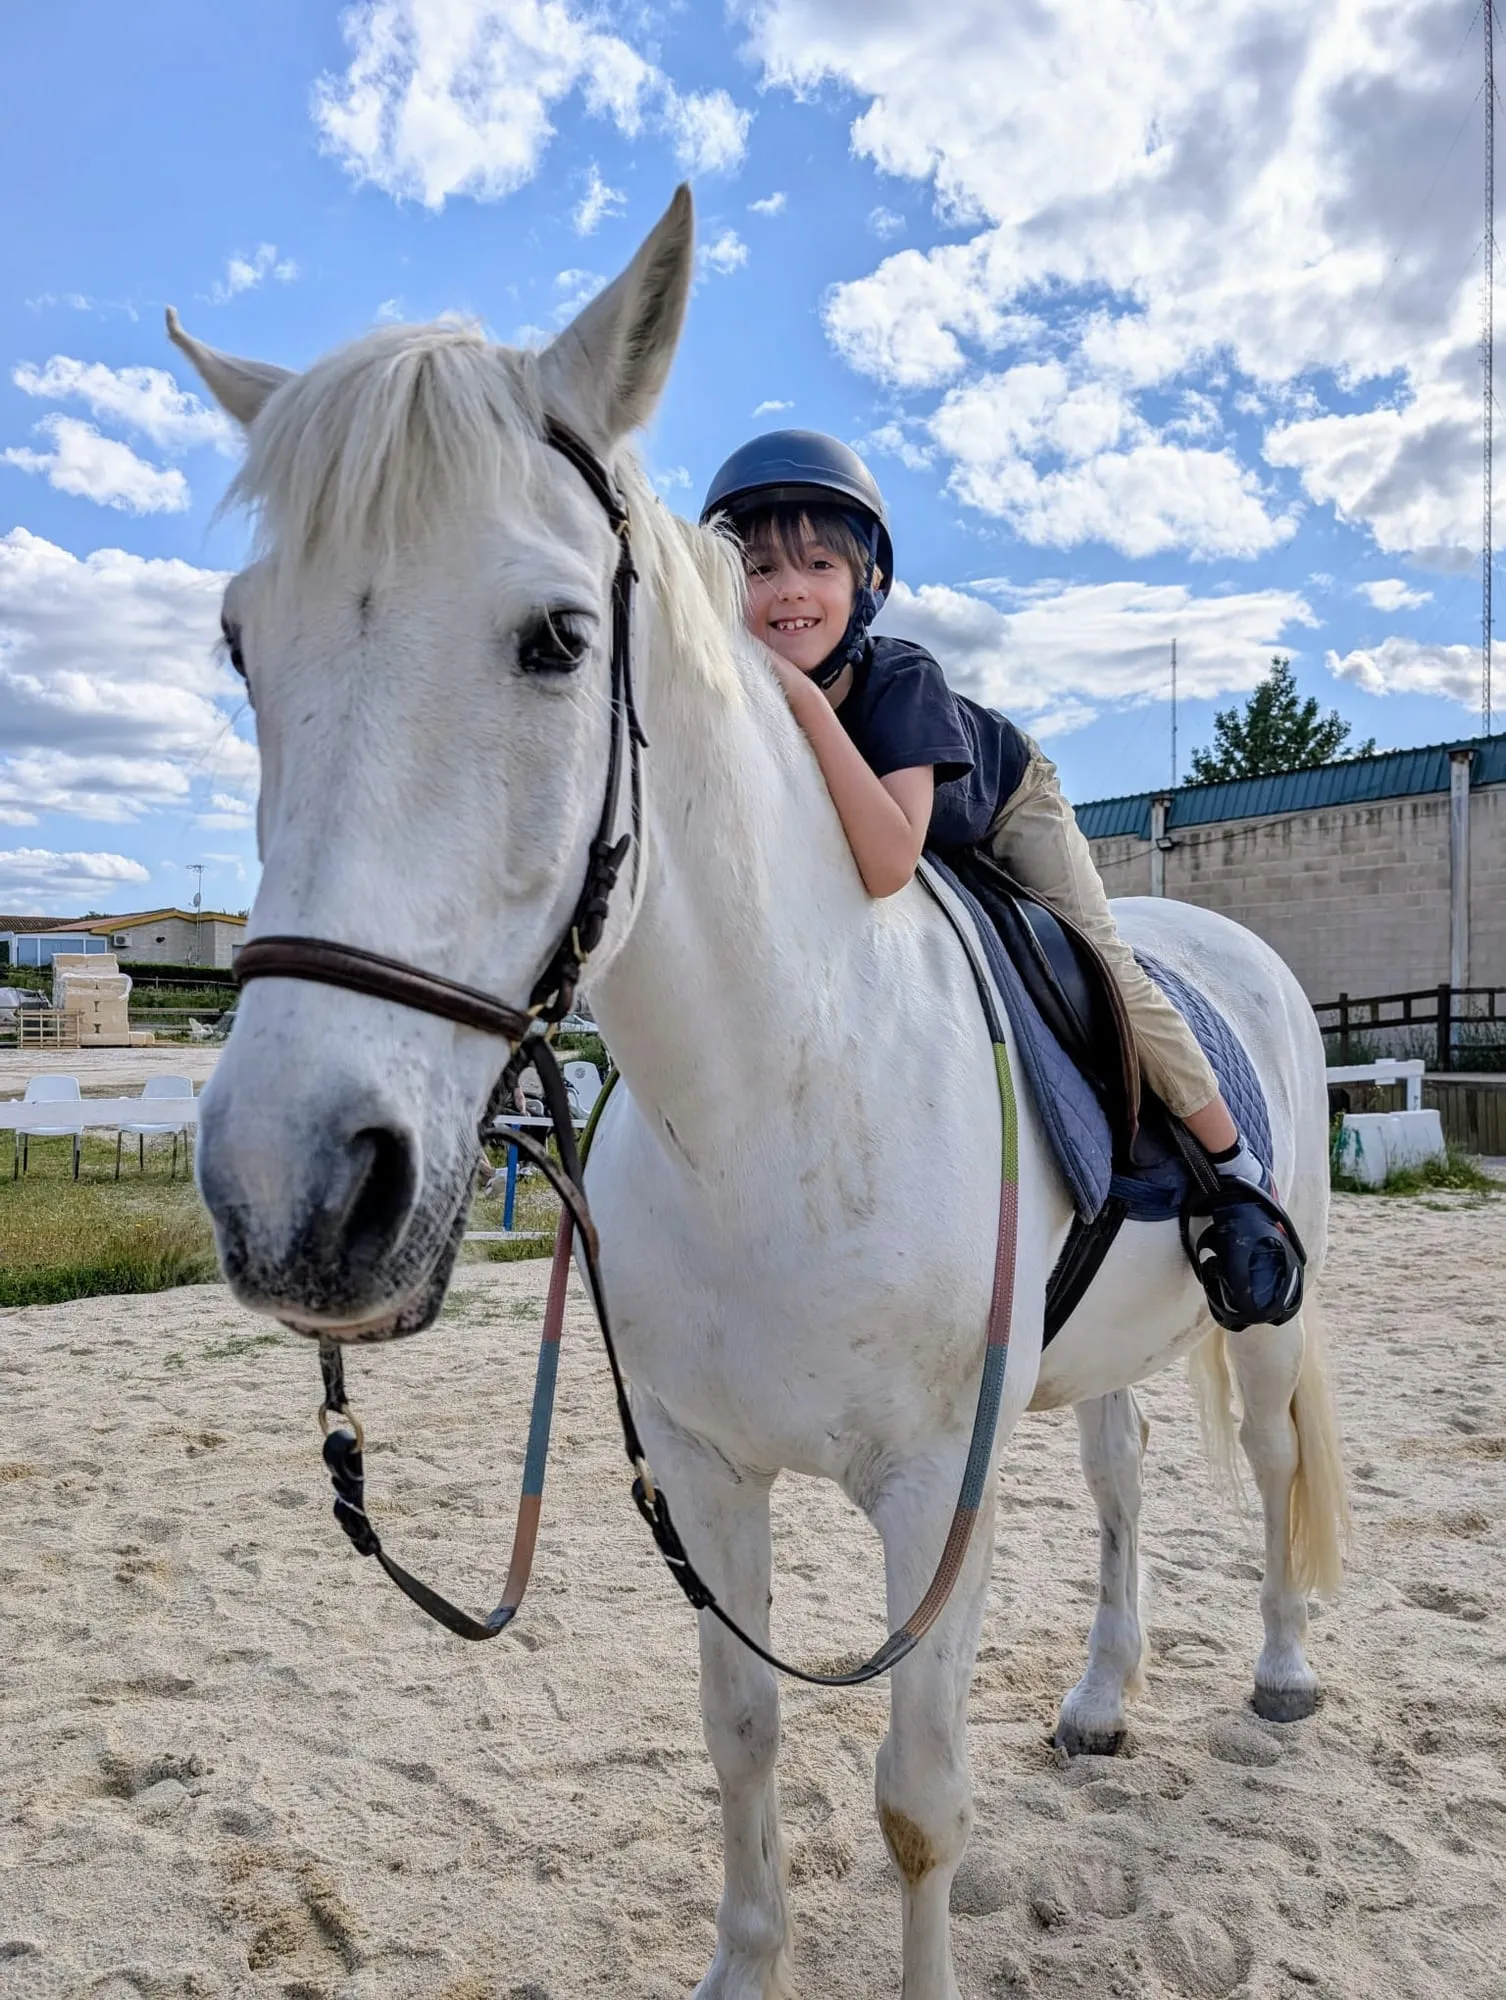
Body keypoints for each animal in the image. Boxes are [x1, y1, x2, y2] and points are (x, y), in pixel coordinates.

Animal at [172, 186, 1348, 2000]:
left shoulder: (936, 1492)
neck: (780, 1107)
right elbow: (740, 1738)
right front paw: (743, 1964)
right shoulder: (707, 1471)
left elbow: (919, 1801)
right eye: (243, 642)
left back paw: (1282, 1674)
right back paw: (1098, 1700)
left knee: (1275, 1458)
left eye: (558, 639)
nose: (292, 1190)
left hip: (1266, 1307)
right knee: (1124, 1478)